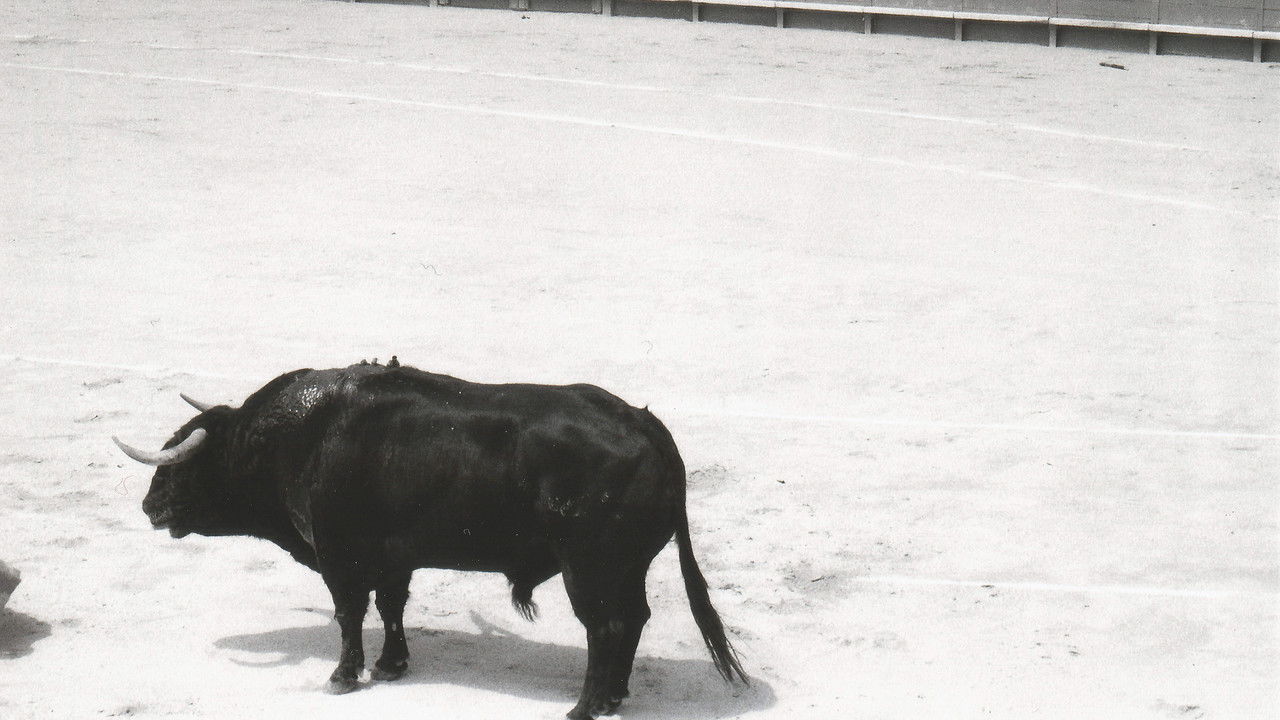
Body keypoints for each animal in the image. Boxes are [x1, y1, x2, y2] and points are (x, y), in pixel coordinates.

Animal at [113, 360, 746, 719]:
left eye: (187, 463)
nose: (149, 506)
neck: (302, 438)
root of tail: (645, 423)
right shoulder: (394, 557)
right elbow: (391, 606)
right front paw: (392, 665)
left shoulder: (340, 555)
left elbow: (350, 613)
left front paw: (343, 677)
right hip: (627, 566)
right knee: (633, 619)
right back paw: (615, 697)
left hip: (587, 567)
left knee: (606, 626)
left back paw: (585, 707)